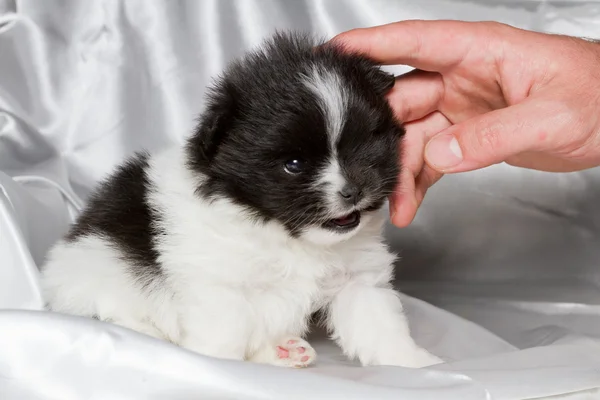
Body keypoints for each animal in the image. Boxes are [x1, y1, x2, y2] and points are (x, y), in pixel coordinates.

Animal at [38, 32, 440, 368]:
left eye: (360, 147)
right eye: (294, 164)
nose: (353, 190)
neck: (284, 233)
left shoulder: (356, 278)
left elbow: (380, 325)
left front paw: (419, 367)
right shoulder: (219, 286)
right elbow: (224, 336)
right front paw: (222, 371)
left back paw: (285, 352)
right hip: (94, 276)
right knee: (115, 317)